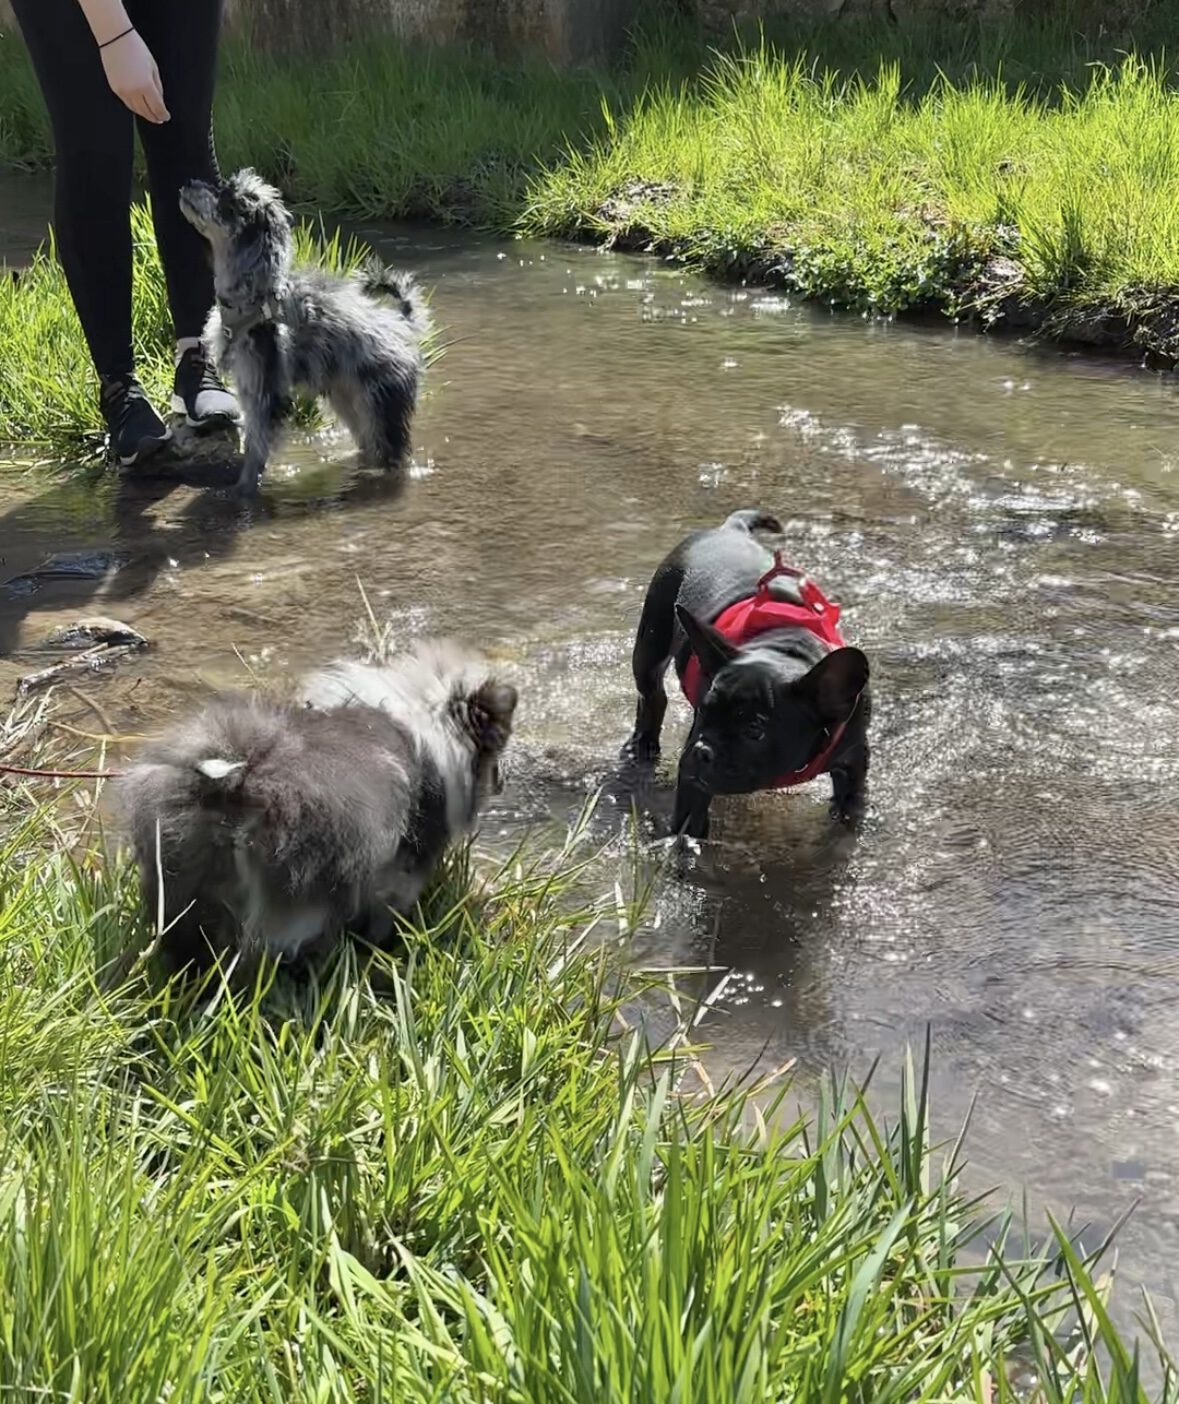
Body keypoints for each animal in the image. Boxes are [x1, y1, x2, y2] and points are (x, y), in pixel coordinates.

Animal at [179, 169, 430, 495]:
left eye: (227, 198)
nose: (188, 182)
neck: (254, 297)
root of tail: (399, 323)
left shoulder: (265, 390)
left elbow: (256, 447)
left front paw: (244, 490)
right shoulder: (248, 385)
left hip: (383, 406)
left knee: (390, 451)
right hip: (348, 399)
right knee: (367, 443)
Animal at [625, 509, 871, 840]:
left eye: (755, 730)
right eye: (704, 710)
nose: (702, 751)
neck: (784, 649)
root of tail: (730, 528)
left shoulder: (854, 762)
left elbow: (848, 808)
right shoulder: (691, 780)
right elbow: (689, 826)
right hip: (653, 640)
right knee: (652, 695)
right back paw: (644, 744)